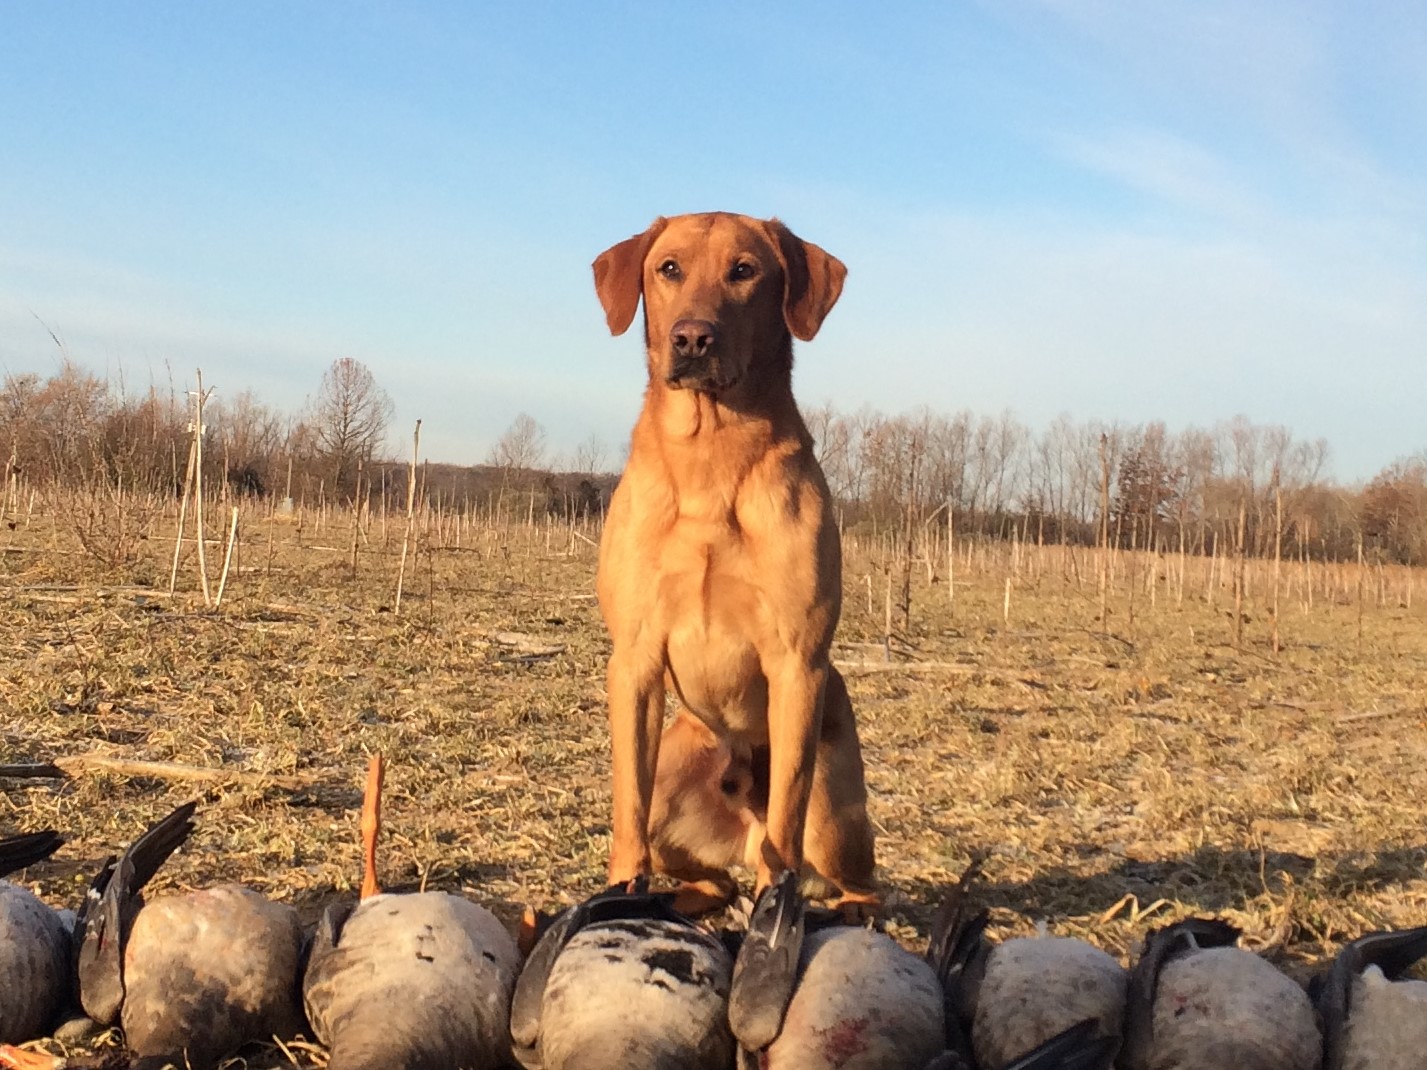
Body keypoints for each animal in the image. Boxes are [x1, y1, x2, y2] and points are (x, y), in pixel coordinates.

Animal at [590, 214, 879, 918]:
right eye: (668, 268)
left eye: (744, 271)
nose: (692, 337)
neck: (710, 453)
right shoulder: (635, 657)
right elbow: (626, 805)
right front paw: (620, 891)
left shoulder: (797, 663)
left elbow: (786, 818)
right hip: (673, 775)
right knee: (713, 878)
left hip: (836, 813)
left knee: (850, 874)